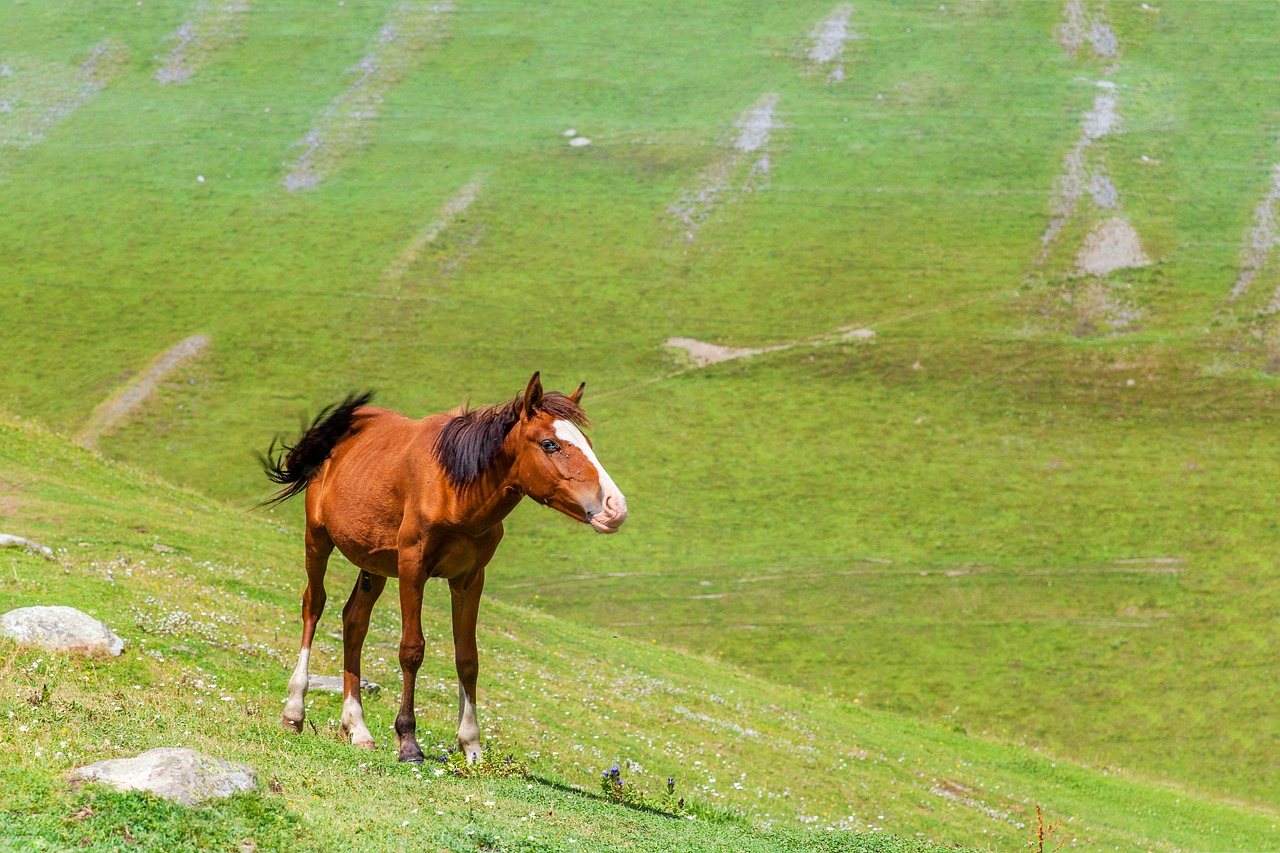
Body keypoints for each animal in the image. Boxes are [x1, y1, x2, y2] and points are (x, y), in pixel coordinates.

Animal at [254, 376, 624, 758]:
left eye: (588, 444)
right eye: (550, 444)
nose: (615, 507)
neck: (456, 489)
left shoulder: (469, 578)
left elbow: (468, 659)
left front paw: (471, 745)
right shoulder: (412, 568)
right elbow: (411, 649)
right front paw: (408, 741)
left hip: (374, 563)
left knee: (354, 622)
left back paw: (356, 727)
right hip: (317, 539)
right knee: (313, 605)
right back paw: (294, 712)